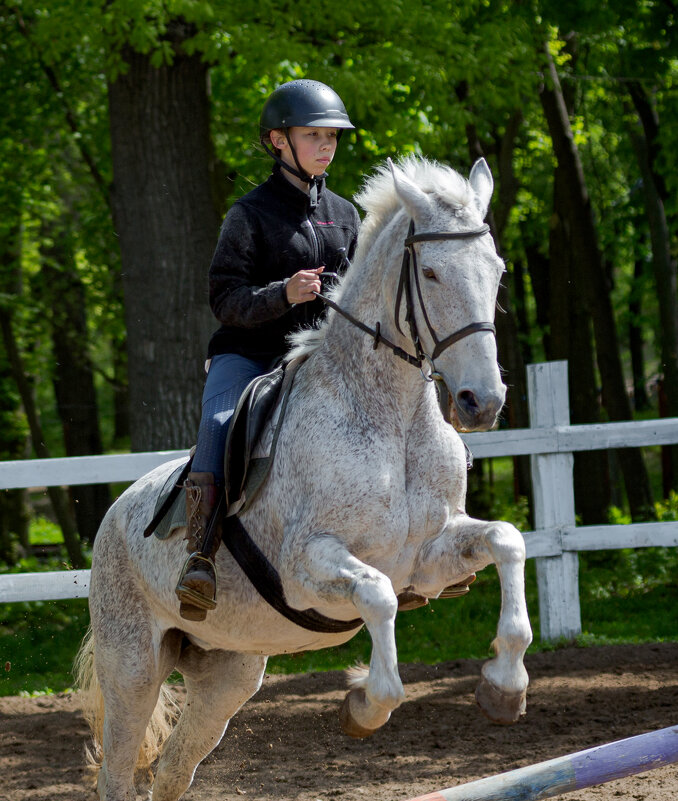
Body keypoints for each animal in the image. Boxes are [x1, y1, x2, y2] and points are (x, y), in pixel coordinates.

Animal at [77, 156, 532, 800]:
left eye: (496, 272)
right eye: (432, 273)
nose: (481, 403)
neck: (391, 419)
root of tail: (114, 517)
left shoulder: (428, 555)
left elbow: (506, 540)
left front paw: (503, 688)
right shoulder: (307, 565)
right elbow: (378, 598)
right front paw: (363, 706)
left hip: (229, 673)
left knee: (172, 769)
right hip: (134, 669)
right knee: (118, 771)